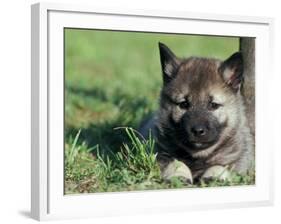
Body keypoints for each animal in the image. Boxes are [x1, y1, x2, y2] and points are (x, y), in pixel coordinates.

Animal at [139, 42, 254, 184]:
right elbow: (175, 162)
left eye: (213, 105)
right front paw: (178, 175)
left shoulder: (239, 161)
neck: (198, 156)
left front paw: (214, 176)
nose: (198, 131)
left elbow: (220, 166)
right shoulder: (161, 154)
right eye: (183, 104)